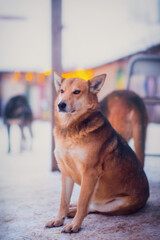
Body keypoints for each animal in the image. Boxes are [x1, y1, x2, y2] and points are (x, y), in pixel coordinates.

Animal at [45, 73, 149, 232]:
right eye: (62, 91)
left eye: (77, 92)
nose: (60, 105)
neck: (71, 129)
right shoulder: (66, 172)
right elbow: (63, 201)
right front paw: (58, 219)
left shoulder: (90, 172)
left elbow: (83, 202)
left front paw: (75, 225)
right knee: (91, 205)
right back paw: (71, 209)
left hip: (119, 204)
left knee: (93, 208)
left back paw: (74, 212)